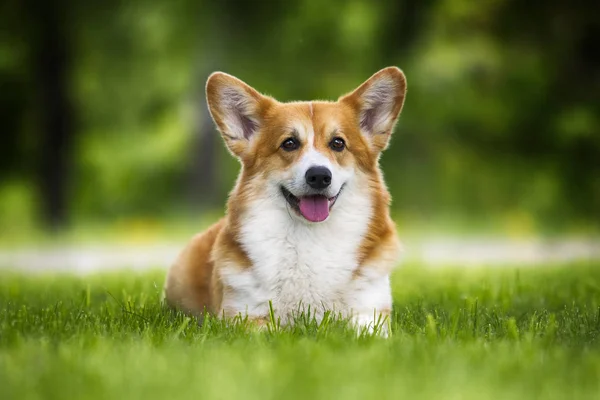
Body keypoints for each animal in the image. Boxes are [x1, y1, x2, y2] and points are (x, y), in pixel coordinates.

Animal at [164, 67, 408, 336]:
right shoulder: (242, 315)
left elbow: (366, 332)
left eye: (338, 143)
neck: (311, 235)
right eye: (289, 143)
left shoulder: (370, 311)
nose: (319, 176)